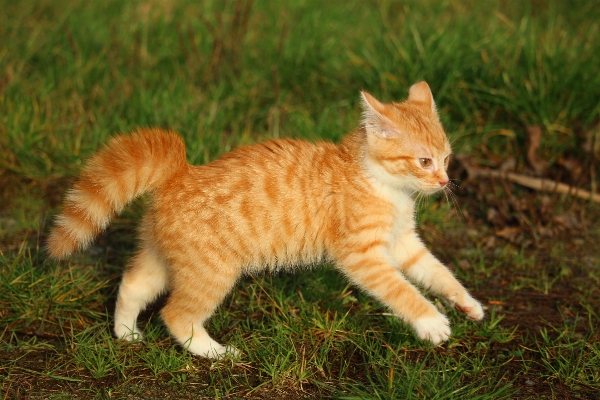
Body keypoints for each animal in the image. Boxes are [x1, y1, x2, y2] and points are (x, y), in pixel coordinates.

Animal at [49, 83, 486, 358]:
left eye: (446, 158)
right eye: (423, 161)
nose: (444, 181)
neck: (381, 183)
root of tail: (181, 174)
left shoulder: (403, 243)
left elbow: (436, 272)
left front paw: (466, 303)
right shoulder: (362, 256)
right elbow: (402, 291)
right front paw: (431, 322)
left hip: (167, 257)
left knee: (132, 286)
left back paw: (125, 333)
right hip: (212, 271)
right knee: (176, 315)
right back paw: (215, 353)